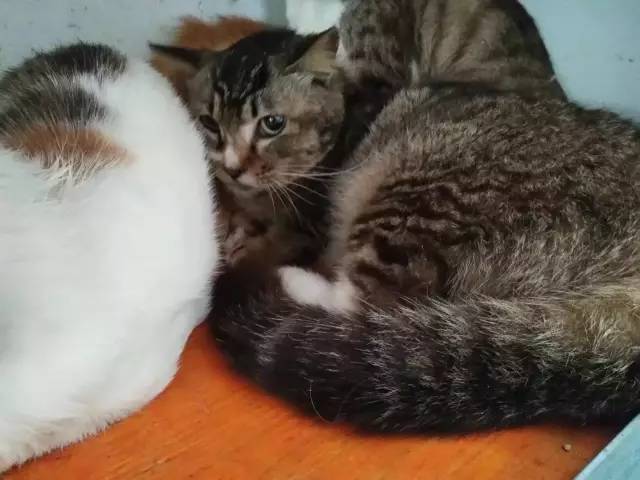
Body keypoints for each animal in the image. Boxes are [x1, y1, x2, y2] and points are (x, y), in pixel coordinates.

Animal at [207, 2, 640, 432]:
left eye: (272, 124)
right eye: (211, 126)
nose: (232, 167)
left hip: (422, 198)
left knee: (364, 302)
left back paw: (288, 279)